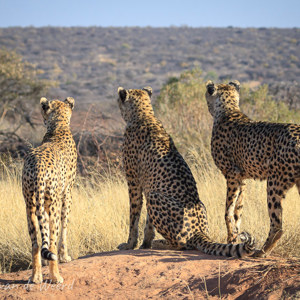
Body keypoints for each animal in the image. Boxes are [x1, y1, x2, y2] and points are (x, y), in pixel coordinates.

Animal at [22, 97, 78, 282]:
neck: (58, 126)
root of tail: (37, 166)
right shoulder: (67, 195)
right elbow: (65, 226)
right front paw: (65, 256)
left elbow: (43, 231)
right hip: (53, 205)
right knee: (52, 241)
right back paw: (56, 276)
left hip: (30, 206)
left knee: (35, 243)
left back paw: (36, 276)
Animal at [117, 86, 255, 258]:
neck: (144, 114)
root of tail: (199, 232)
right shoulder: (148, 185)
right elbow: (148, 223)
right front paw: (145, 244)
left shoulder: (134, 182)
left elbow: (134, 216)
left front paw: (130, 244)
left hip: (155, 197)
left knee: (181, 244)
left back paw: (161, 243)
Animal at [205, 80, 300, 258]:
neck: (228, 110)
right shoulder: (242, 178)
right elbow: (238, 210)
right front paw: (235, 238)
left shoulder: (231, 175)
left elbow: (228, 211)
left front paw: (231, 240)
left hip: (274, 182)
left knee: (277, 225)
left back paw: (261, 251)